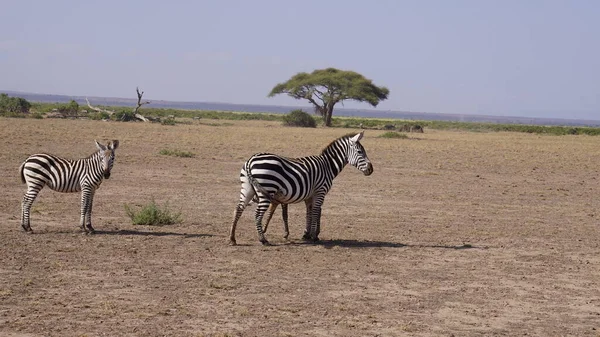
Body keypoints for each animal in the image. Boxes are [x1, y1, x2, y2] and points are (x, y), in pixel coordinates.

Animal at [229, 131, 370, 244]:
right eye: (360, 152)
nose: (371, 169)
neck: (327, 166)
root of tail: (250, 160)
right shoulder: (320, 191)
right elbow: (316, 211)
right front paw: (313, 236)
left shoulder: (310, 195)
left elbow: (309, 212)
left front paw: (306, 234)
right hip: (266, 189)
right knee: (257, 214)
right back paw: (263, 239)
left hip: (247, 188)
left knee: (238, 209)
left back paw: (232, 238)